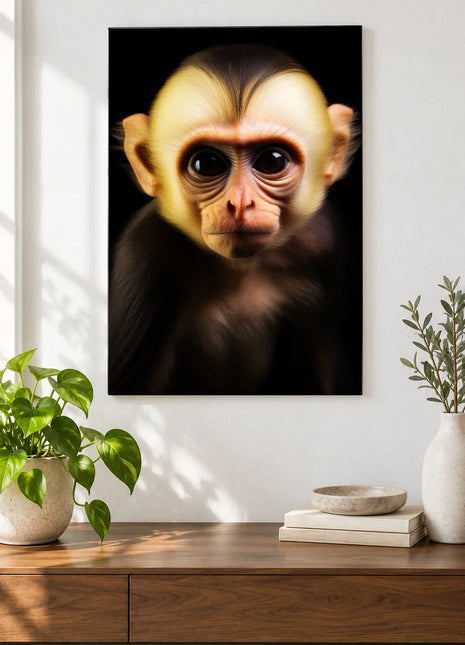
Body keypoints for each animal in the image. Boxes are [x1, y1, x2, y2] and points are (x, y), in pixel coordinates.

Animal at [108, 44, 360, 395]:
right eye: (207, 164)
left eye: (272, 161)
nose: (240, 204)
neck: (241, 269)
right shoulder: (147, 254)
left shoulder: (324, 242)